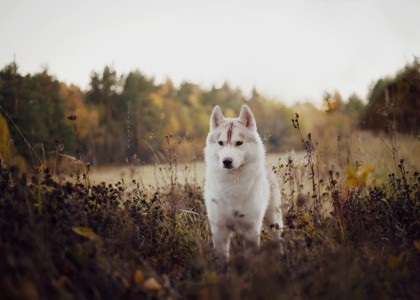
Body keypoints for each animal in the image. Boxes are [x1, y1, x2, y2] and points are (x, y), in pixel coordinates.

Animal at [203, 105, 282, 262]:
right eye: (221, 143)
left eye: (239, 143)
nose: (226, 161)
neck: (233, 185)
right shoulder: (219, 230)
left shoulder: (251, 229)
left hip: (273, 220)